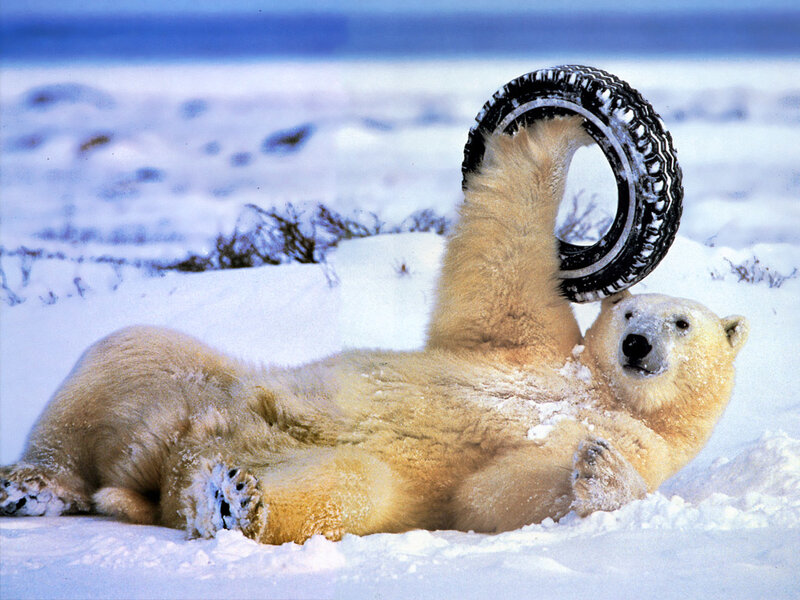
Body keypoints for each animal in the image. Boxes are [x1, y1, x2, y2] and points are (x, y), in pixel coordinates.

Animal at [0, 116, 749, 543]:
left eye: (682, 321)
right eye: (627, 312)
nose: (637, 344)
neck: (601, 390)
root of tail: (152, 474)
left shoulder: (649, 445)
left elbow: (499, 495)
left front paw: (597, 471)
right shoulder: (529, 346)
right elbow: (500, 267)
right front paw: (556, 130)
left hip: (249, 455)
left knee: (354, 486)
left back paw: (233, 503)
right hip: (197, 384)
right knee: (125, 353)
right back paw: (32, 485)